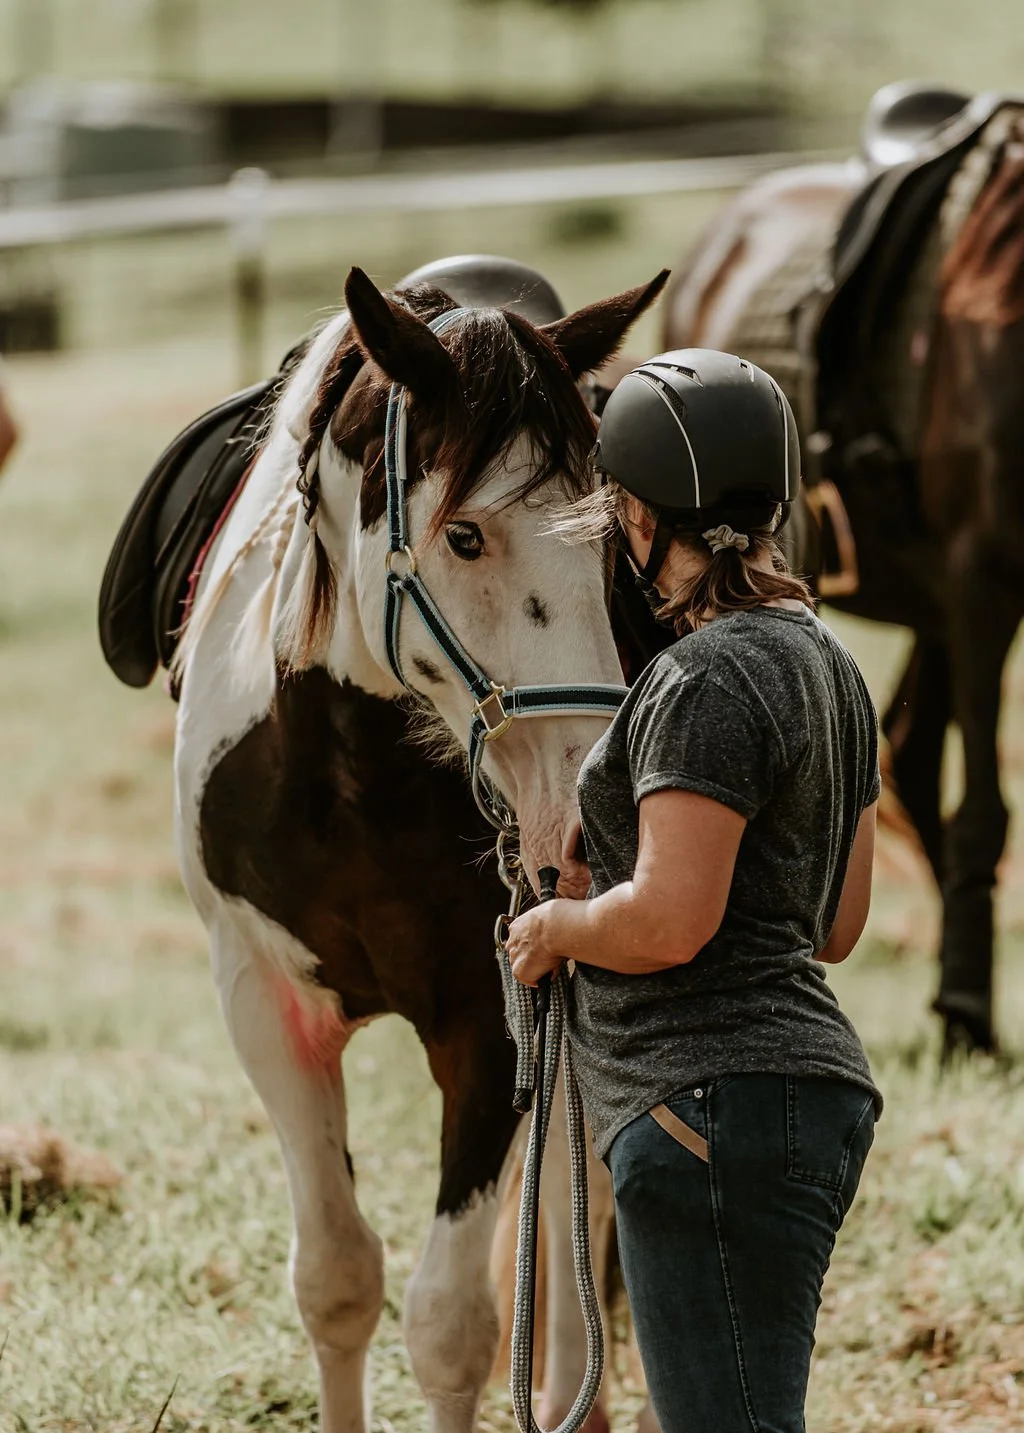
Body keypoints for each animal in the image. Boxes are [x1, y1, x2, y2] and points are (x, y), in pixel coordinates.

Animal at [170, 261, 667, 1433]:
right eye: (467, 535)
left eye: (608, 541)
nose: (589, 813)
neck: (353, 772)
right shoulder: (263, 1000)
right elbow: (337, 1278)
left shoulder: (489, 1018)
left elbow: (452, 1325)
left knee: (572, 1205)